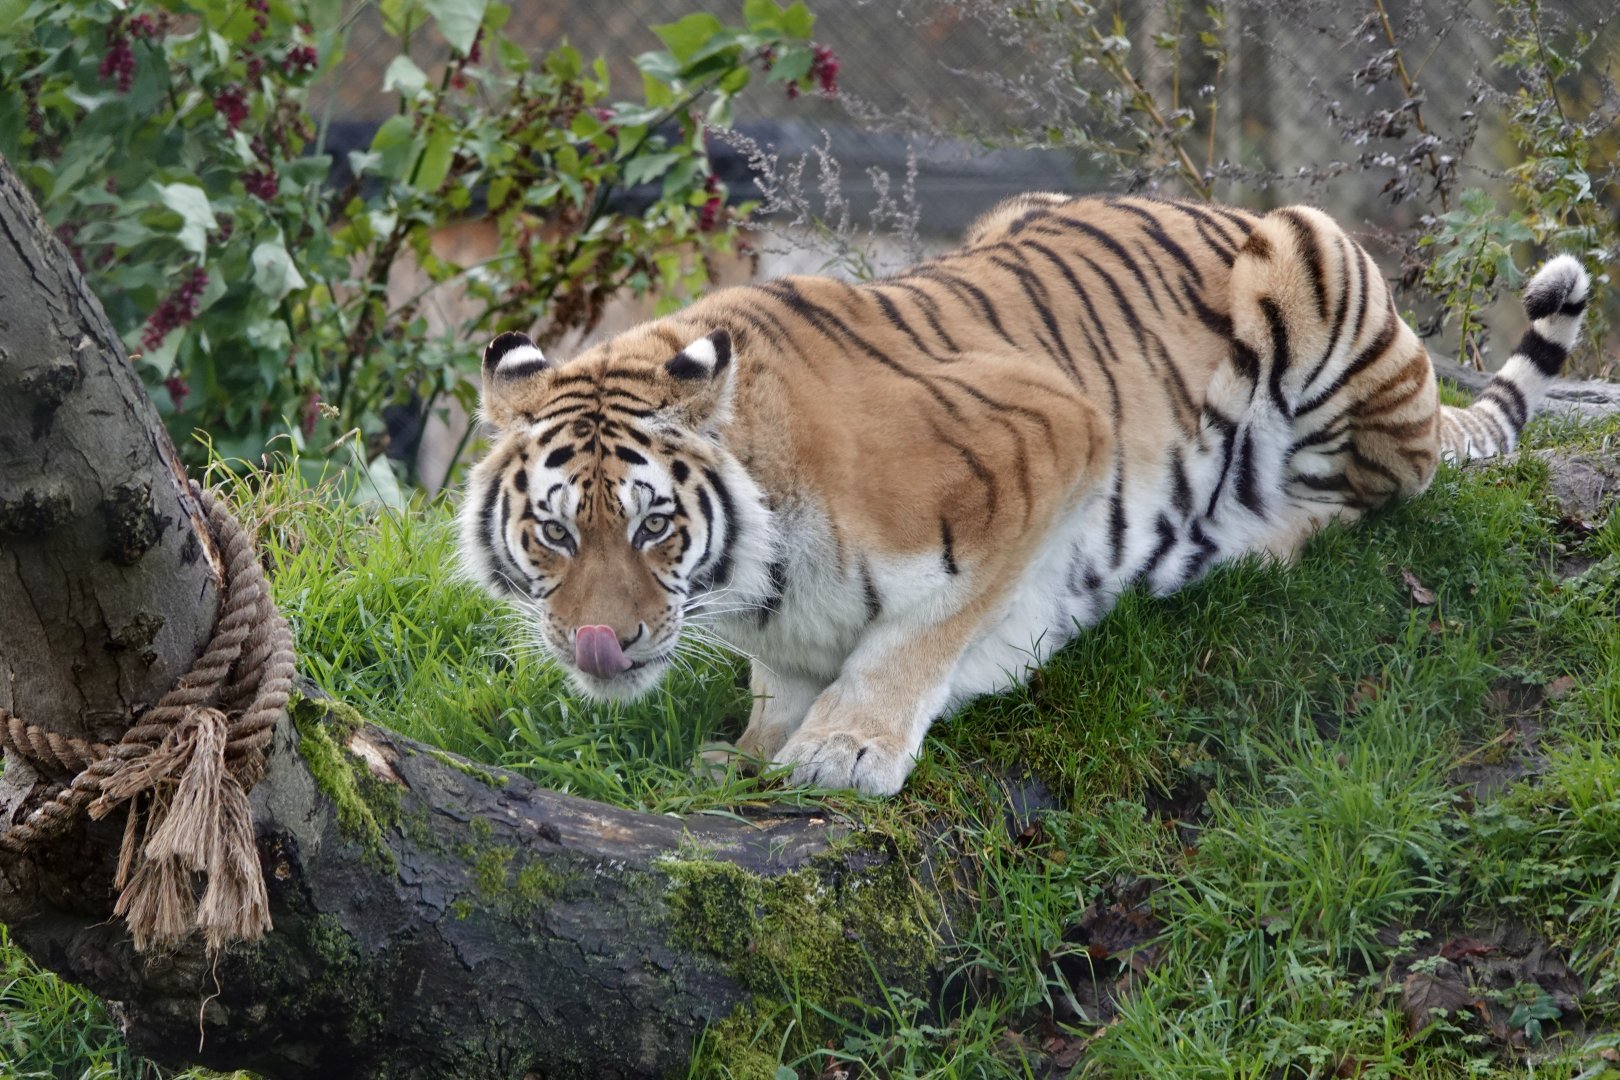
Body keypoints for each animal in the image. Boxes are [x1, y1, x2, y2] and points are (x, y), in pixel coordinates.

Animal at [458, 194, 1589, 797]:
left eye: (655, 525)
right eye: (554, 534)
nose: (601, 646)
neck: (755, 583)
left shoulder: (1047, 436)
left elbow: (919, 634)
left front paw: (843, 751)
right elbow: (783, 682)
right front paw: (754, 750)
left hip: (1315, 267)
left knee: (1375, 493)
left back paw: (1255, 540)